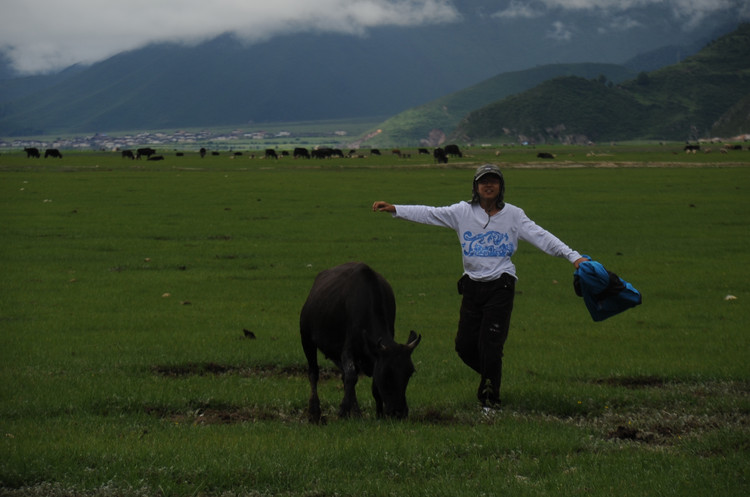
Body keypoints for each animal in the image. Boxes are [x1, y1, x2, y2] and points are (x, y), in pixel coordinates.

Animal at [304, 262, 424, 420]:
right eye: (387, 373)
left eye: (410, 372)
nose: (399, 412)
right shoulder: (347, 349)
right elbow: (351, 376)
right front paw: (342, 411)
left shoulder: (374, 355)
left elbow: (370, 384)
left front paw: (378, 413)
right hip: (306, 339)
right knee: (314, 373)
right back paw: (314, 411)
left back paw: (356, 411)